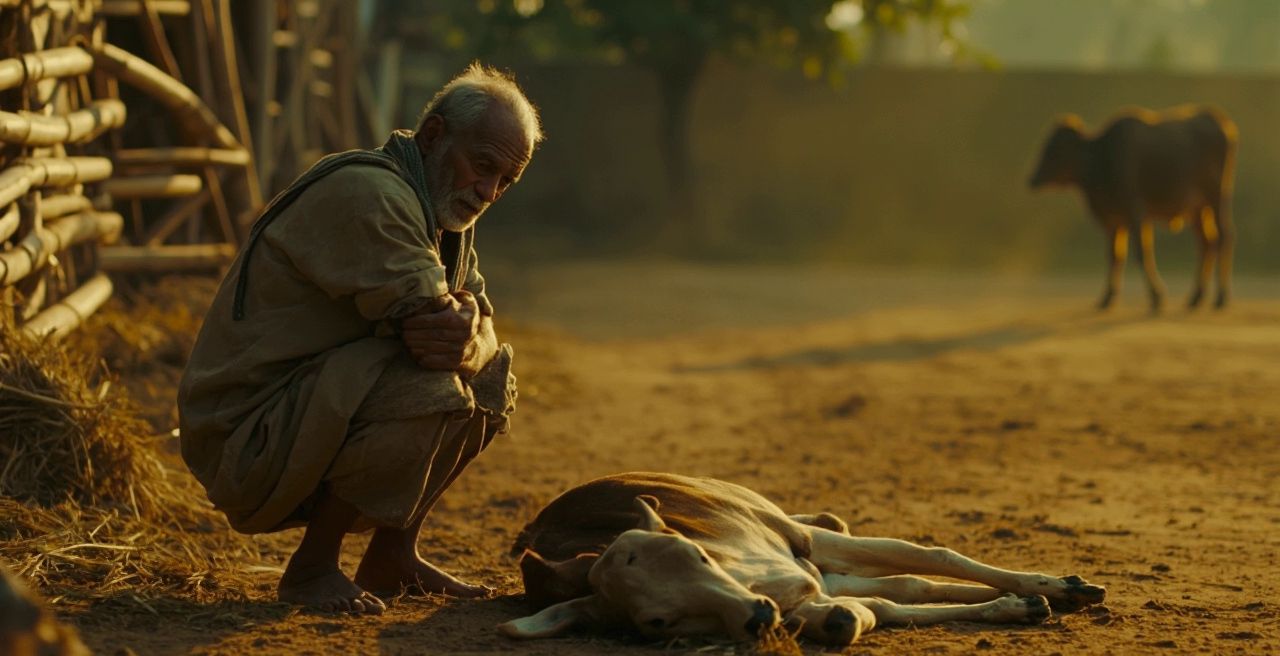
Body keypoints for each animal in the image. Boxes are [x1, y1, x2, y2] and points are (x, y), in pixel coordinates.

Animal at [496, 472, 1106, 646]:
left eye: (698, 556)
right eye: (657, 622)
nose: (760, 615)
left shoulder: (804, 557)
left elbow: (929, 560)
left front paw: (1051, 588)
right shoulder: (821, 591)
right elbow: (893, 604)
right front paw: (1016, 606)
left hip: (803, 538)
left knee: (921, 562)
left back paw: (1063, 589)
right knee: (909, 585)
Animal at [1029, 105, 1237, 311]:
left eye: (1054, 148)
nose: (1032, 179)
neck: (1103, 157)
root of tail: (1224, 124)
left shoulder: (1135, 211)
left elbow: (1141, 252)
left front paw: (1156, 297)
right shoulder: (1113, 220)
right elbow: (1115, 256)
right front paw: (1107, 298)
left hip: (1216, 197)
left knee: (1223, 238)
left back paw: (1221, 297)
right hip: (1197, 209)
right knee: (1207, 243)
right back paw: (1196, 297)